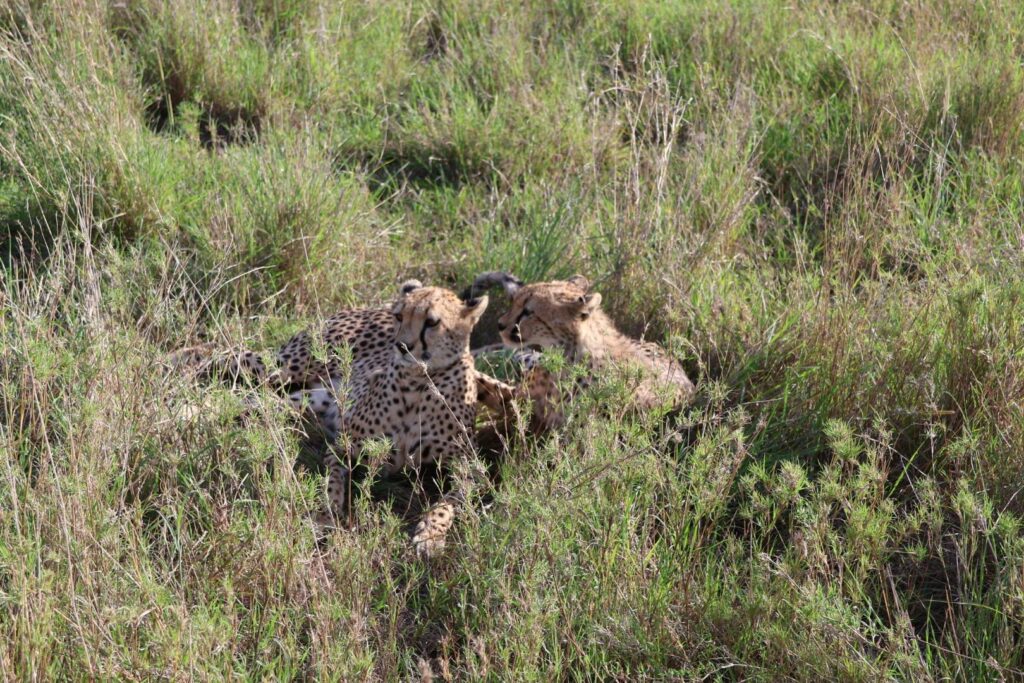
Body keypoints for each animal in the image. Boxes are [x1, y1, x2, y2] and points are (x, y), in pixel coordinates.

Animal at [168, 280, 516, 557]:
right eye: (400, 316)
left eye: (431, 322)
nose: (402, 346)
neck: (419, 382)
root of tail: (369, 307)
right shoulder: (344, 444)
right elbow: (333, 484)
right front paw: (325, 516)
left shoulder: (470, 466)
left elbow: (447, 504)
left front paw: (430, 536)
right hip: (286, 366)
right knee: (226, 354)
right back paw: (174, 370)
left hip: (305, 399)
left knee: (250, 400)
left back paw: (187, 407)